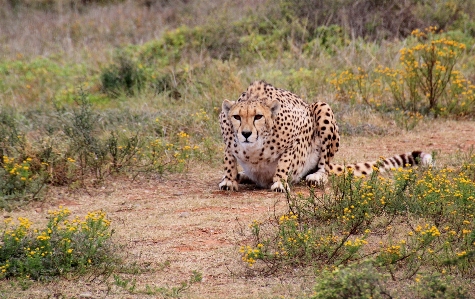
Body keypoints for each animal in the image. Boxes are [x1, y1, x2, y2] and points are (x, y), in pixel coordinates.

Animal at [218, 80, 434, 192]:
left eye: (258, 117)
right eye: (237, 117)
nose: (246, 134)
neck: (254, 149)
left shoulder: (300, 132)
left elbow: (286, 160)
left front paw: (279, 181)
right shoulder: (227, 138)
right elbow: (228, 159)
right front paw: (229, 179)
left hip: (322, 107)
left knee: (325, 164)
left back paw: (317, 176)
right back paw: (242, 175)